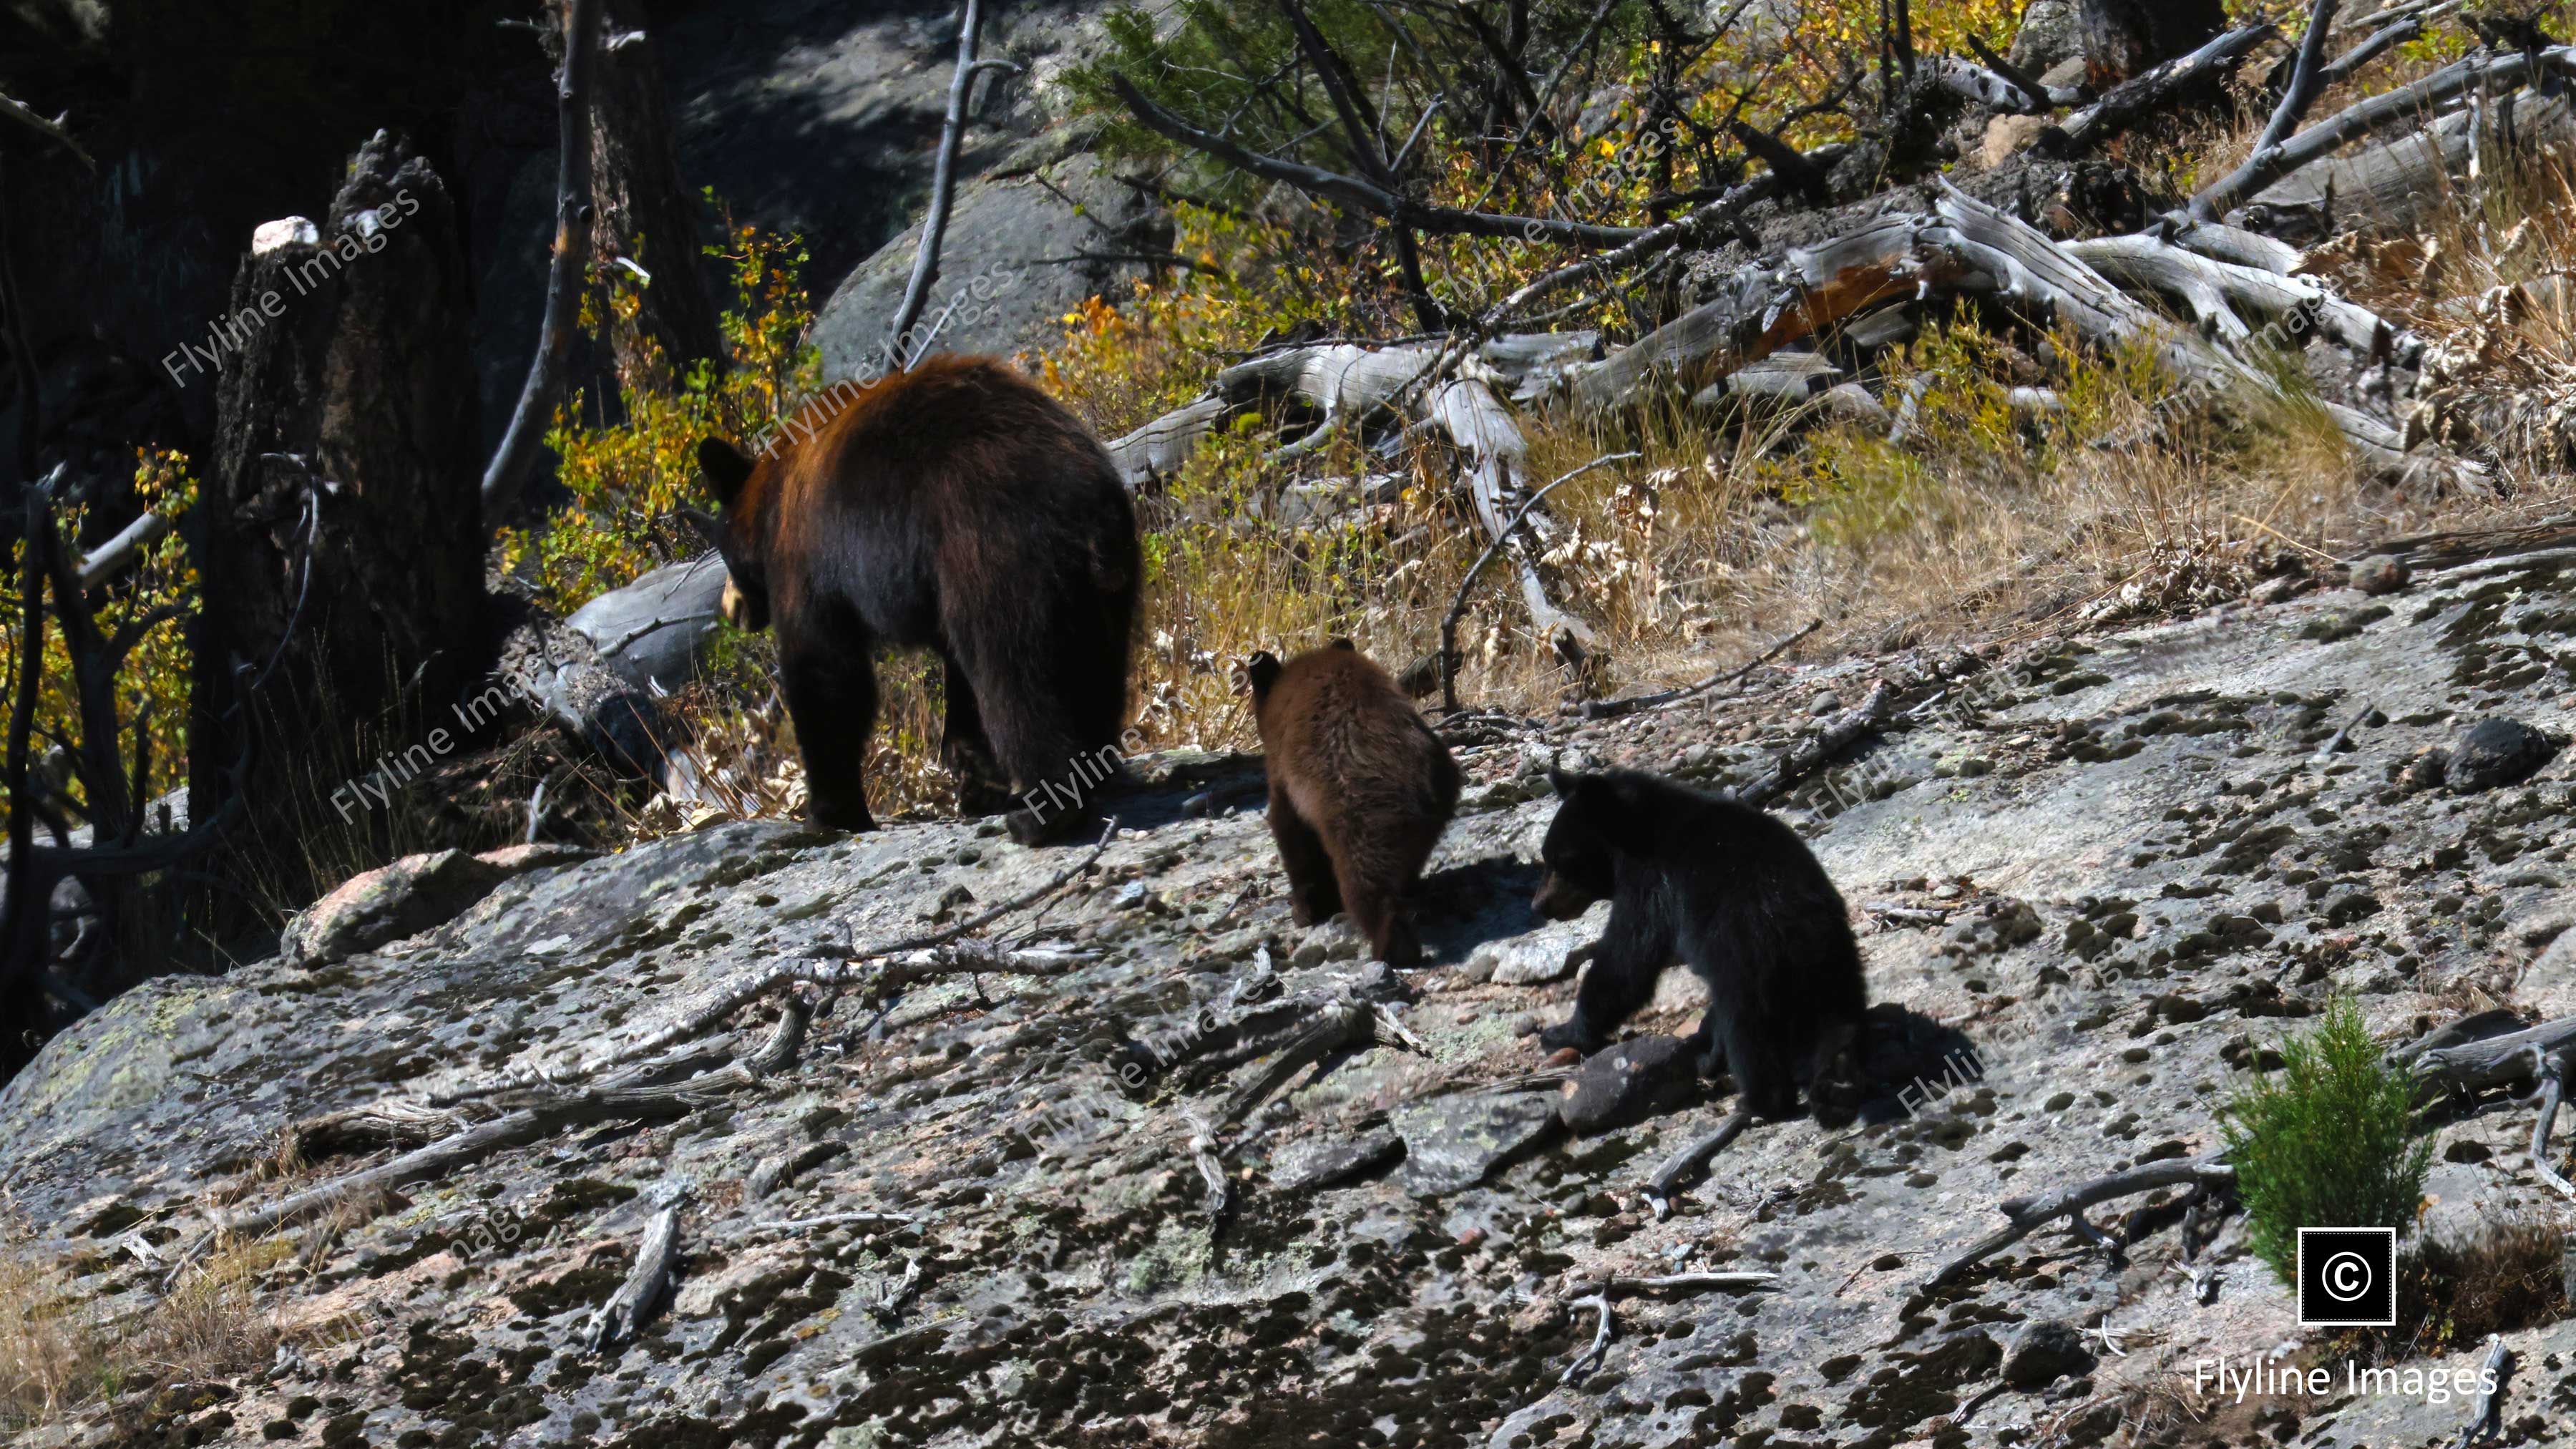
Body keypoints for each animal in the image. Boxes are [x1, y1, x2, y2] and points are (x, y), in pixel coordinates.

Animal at [694, 355, 1139, 844]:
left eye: (722, 553)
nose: (729, 609)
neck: (772, 496)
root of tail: (1081, 501)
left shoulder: (805, 561)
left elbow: (825, 671)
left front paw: (829, 812)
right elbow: (956, 674)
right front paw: (977, 783)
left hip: (995, 557)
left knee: (1015, 674)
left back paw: (1043, 811)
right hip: (1102, 585)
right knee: (1092, 669)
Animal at [1247, 640, 1461, 965]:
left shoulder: (1283, 773)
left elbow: (1290, 832)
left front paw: (1305, 909)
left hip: (1358, 815)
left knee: (1365, 881)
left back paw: (1390, 946)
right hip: (1440, 796)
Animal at [1531, 767, 1866, 1120]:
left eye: (1561, 860)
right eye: (1546, 857)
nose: (1539, 906)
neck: (1638, 828)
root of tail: (1801, 922)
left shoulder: (1649, 882)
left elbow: (1626, 959)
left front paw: (1561, 1032)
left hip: (1745, 956)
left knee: (1746, 1027)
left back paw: (1758, 1099)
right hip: (1832, 961)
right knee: (1839, 1021)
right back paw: (1837, 1086)